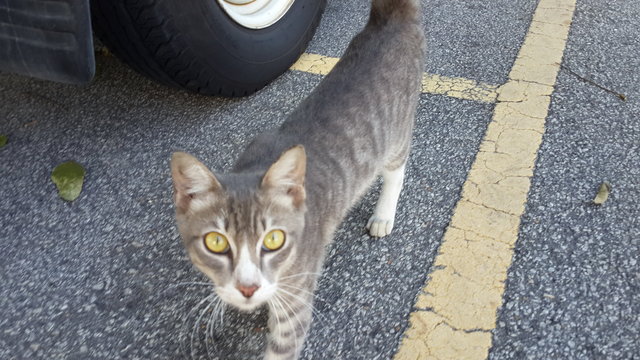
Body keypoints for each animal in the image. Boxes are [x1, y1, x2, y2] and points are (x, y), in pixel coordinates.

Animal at [171, 0, 424, 358]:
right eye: (216, 242)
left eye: (274, 239)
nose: (248, 287)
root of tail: (391, 18)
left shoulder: (298, 297)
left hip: (397, 134)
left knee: (396, 171)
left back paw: (383, 214)